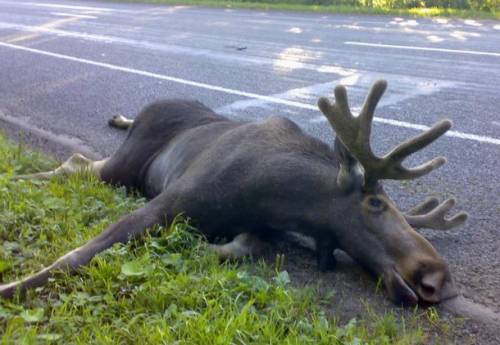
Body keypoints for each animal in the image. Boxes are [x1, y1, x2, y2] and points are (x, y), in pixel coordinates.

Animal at [0, 80, 468, 304]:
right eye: (376, 203)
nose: (439, 278)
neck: (277, 196)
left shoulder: (264, 228)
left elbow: (247, 246)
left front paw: (200, 249)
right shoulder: (167, 201)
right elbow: (75, 256)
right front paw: (12, 288)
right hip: (125, 166)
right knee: (75, 164)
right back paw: (20, 180)